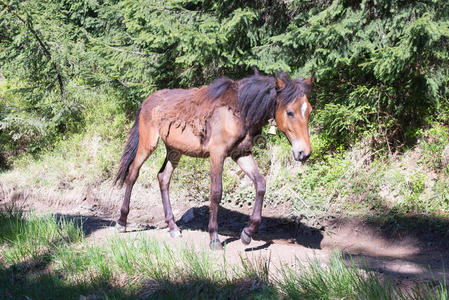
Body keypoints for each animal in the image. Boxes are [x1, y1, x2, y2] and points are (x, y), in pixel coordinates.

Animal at [114, 69, 314, 248]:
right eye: (289, 112)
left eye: (309, 111)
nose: (304, 152)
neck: (240, 110)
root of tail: (147, 101)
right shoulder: (217, 154)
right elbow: (216, 192)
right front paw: (214, 238)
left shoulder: (240, 154)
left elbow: (261, 185)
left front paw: (248, 233)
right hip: (147, 145)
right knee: (132, 174)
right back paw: (122, 222)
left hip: (174, 150)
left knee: (163, 178)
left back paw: (173, 227)